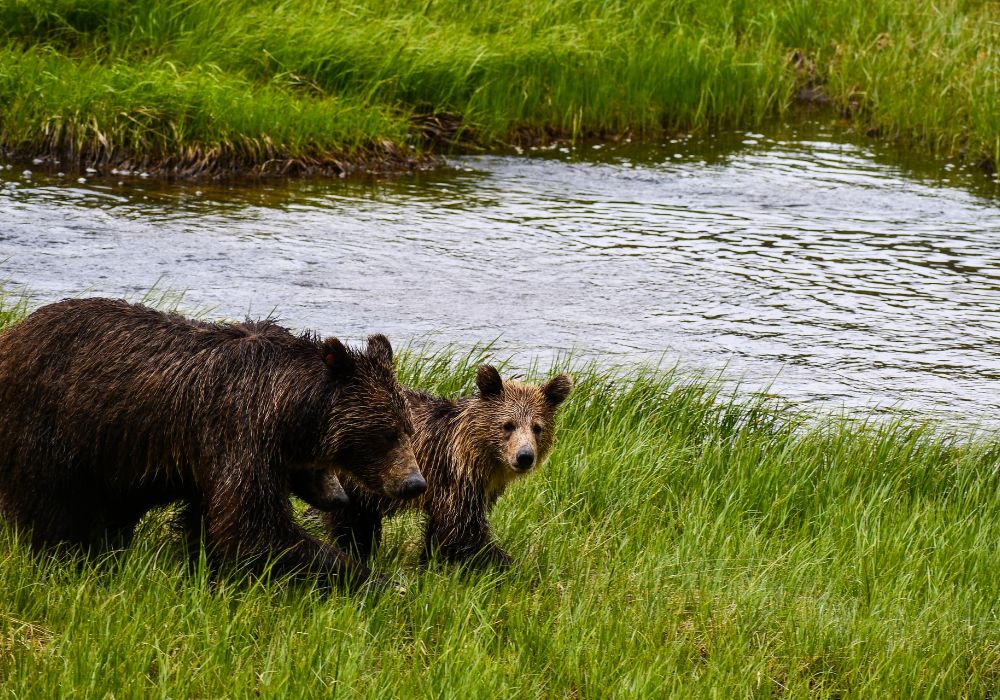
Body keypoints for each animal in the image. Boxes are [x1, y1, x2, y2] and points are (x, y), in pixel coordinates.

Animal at [0, 298, 426, 588]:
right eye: (388, 433)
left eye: (408, 428)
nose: (414, 482)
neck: (289, 408)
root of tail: (13, 333)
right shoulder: (238, 430)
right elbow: (254, 529)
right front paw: (381, 581)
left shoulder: (209, 454)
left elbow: (209, 520)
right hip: (51, 425)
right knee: (52, 503)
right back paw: (65, 555)